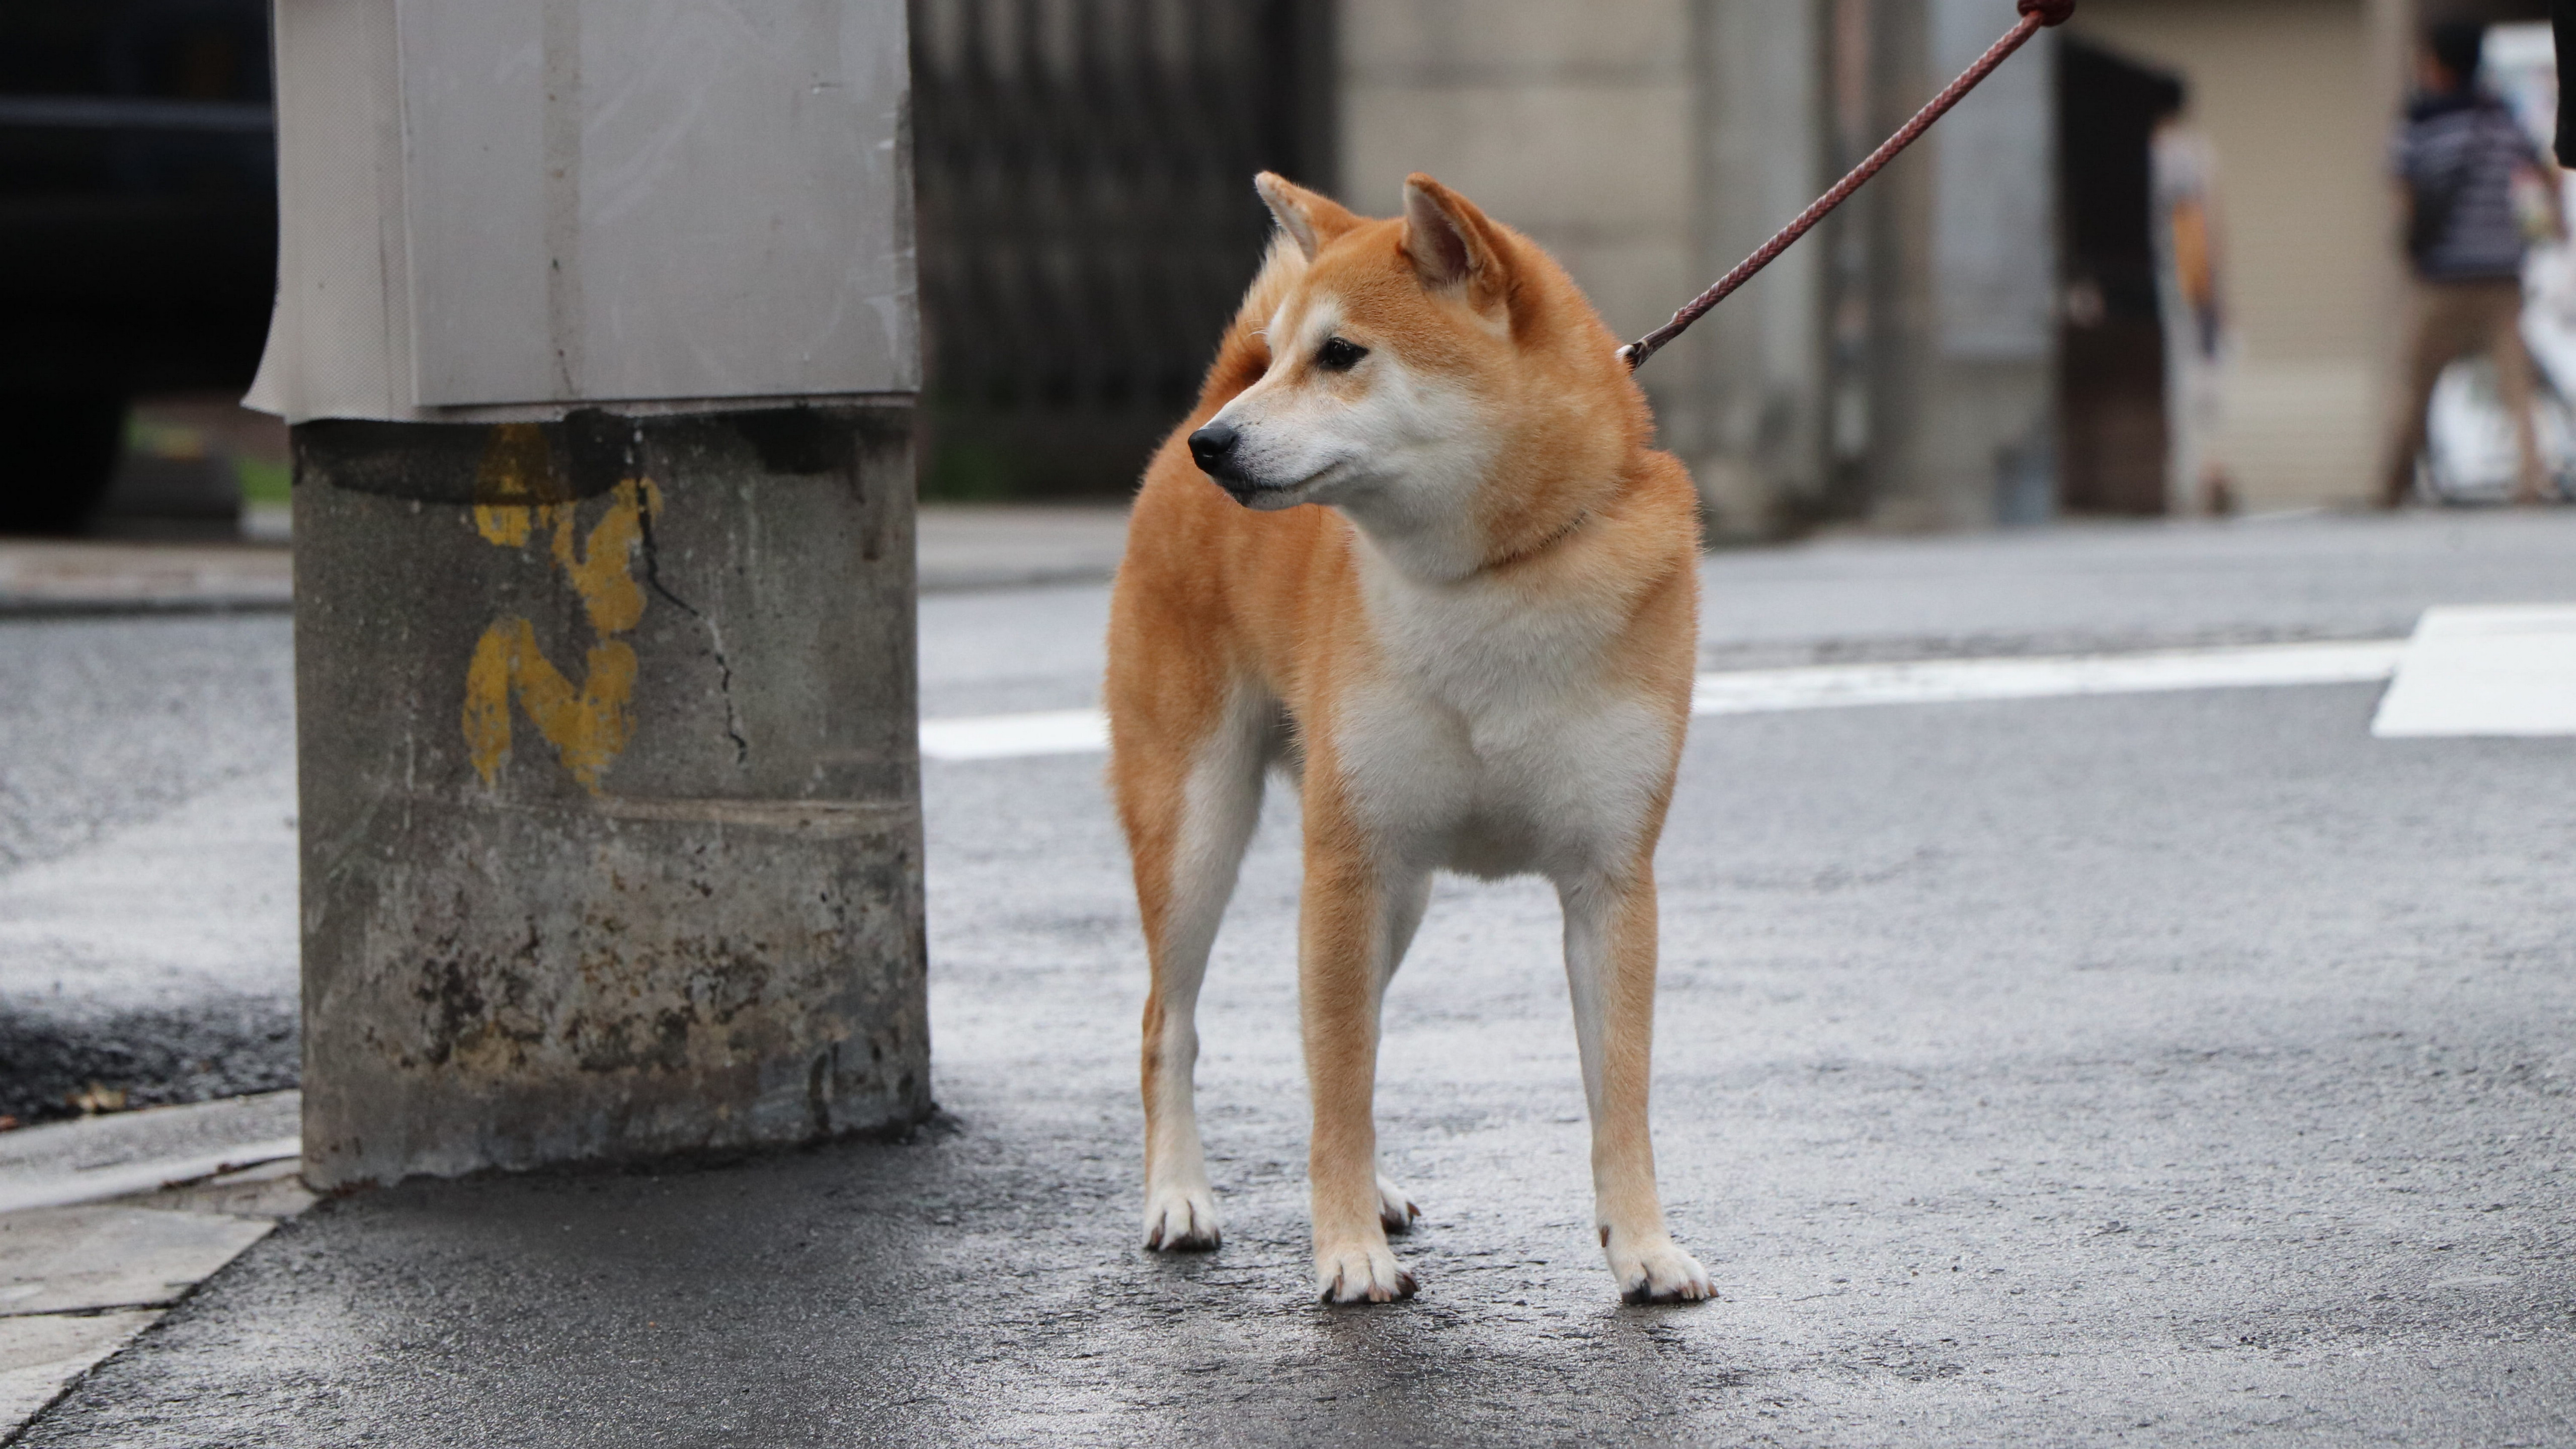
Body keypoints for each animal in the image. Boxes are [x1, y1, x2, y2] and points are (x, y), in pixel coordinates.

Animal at [1102, 171, 1710, 1310]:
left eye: (1341, 355)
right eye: (1291, 355)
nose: (1217, 447)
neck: (1492, 583)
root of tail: (1200, 402)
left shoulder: (1612, 880)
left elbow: (1621, 1094)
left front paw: (1644, 1246)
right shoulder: (1347, 861)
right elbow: (1341, 1083)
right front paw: (1345, 1251)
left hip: (1403, 894)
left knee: (1345, 1038)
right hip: (1202, 829)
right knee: (1173, 1024)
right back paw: (1181, 1197)